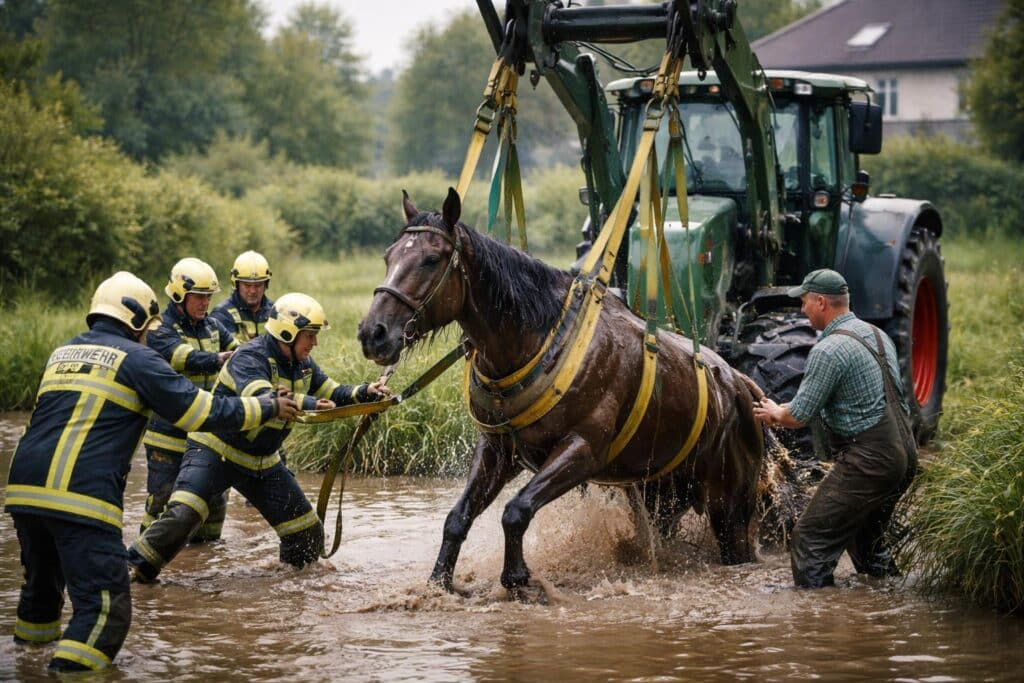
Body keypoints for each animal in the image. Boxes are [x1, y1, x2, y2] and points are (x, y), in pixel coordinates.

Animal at [358, 188, 766, 593]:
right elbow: (458, 518)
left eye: (431, 259)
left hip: (728, 503)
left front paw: (517, 577)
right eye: (388, 256)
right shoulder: (497, 450)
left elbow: (516, 510)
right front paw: (440, 582)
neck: (541, 340)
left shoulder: (582, 450)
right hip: (664, 493)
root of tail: (740, 384)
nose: (372, 333)